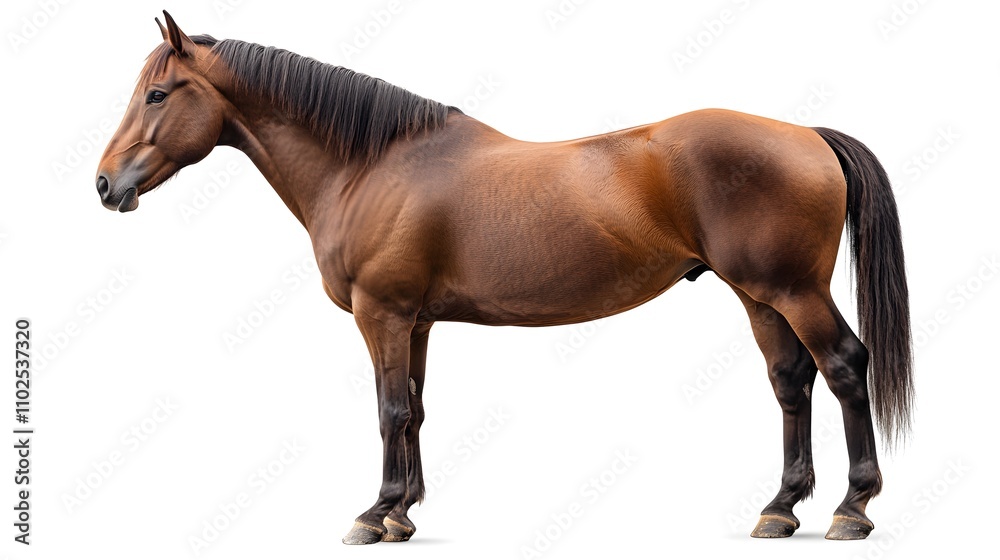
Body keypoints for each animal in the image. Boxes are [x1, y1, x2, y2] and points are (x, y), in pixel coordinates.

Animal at [96, 12, 912, 544]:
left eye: (158, 94)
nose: (105, 185)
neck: (371, 165)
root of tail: (807, 134)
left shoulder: (381, 314)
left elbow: (388, 410)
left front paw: (373, 514)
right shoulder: (416, 321)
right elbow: (416, 410)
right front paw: (405, 513)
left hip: (793, 292)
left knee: (844, 367)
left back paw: (852, 509)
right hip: (759, 296)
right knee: (790, 382)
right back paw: (781, 508)